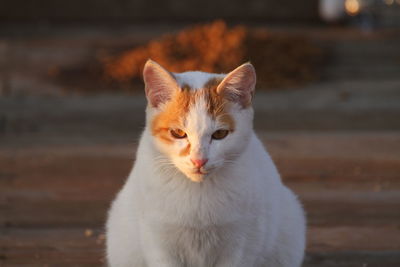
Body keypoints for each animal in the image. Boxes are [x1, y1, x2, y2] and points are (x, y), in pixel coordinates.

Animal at [104, 59, 304, 266]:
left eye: (220, 134)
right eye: (178, 133)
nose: (199, 160)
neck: (198, 193)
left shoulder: (242, 244)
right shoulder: (158, 242)